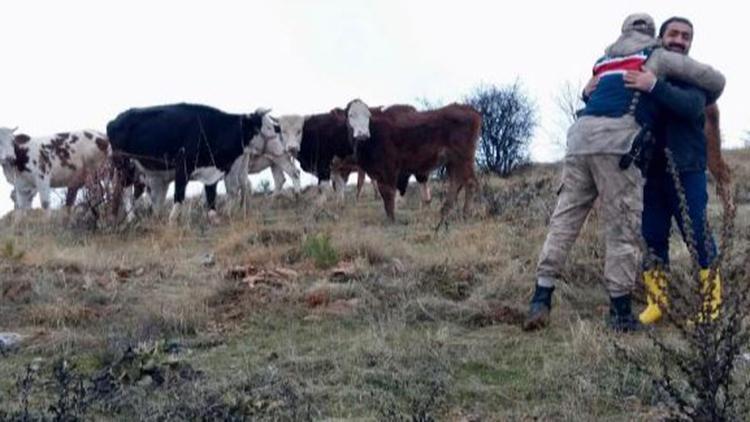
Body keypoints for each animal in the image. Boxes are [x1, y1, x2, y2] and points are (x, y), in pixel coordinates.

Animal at [107, 103, 278, 223]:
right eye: (269, 127)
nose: (281, 147)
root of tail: (114, 121)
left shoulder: (212, 169)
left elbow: (211, 193)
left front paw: (213, 216)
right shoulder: (182, 166)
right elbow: (179, 194)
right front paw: (172, 219)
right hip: (125, 165)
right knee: (126, 191)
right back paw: (132, 218)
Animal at [346, 99, 482, 224]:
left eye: (368, 116)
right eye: (350, 115)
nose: (362, 134)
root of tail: (471, 110)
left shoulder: (389, 169)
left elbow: (388, 193)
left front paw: (391, 219)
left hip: (463, 158)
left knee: (470, 183)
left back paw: (465, 214)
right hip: (452, 162)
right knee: (455, 183)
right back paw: (445, 212)